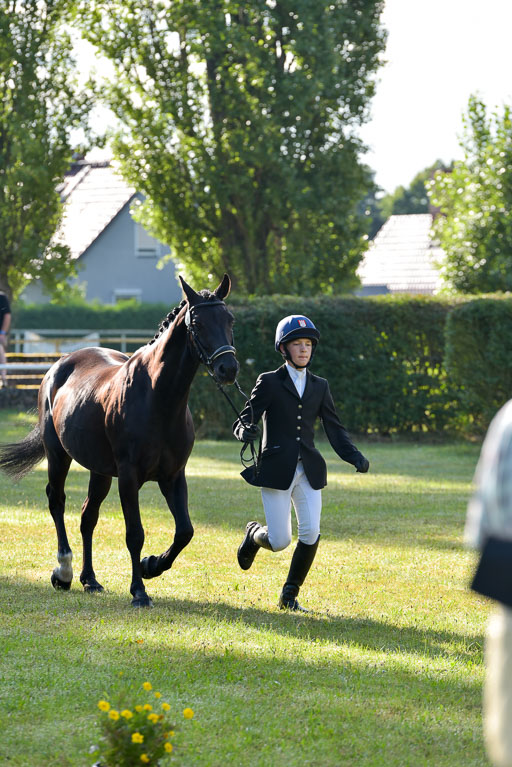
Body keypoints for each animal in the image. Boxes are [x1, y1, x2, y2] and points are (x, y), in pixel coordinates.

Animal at [0, 276, 239, 608]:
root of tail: (58, 365)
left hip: (99, 471)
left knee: (88, 516)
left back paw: (90, 579)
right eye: (198, 323)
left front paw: (151, 566)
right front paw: (139, 591)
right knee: (57, 501)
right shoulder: (128, 477)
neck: (157, 397)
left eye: (230, 319)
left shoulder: (173, 476)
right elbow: (134, 533)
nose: (228, 369)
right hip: (58, 455)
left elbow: (185, 531)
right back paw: (64, 571)